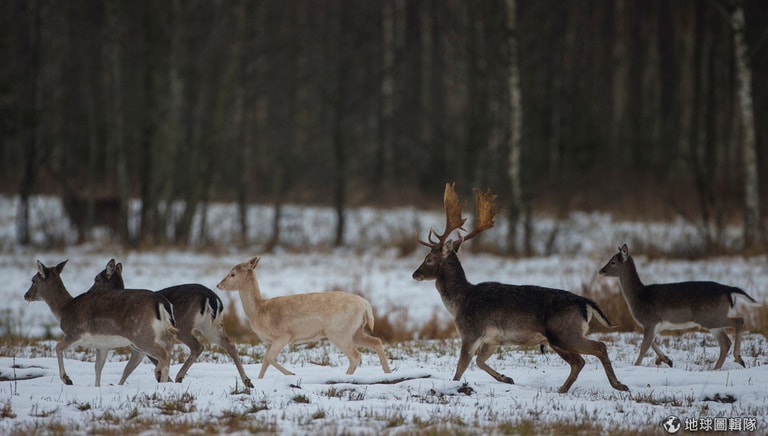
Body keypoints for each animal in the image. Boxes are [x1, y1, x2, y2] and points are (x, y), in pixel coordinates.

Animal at [23, 258, 176, 384]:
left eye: (33, 280)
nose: (26, 295)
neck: (64, 310)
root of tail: (161, 302)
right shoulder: (102, 345)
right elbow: (98, 367)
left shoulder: (75, 333)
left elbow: (58, 346)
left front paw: (67, 379)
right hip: (163, 335)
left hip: (140, 334)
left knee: (164, 355)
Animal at [88, 258, 254, 386]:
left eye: (96, 279)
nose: (89, 293)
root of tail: (212, 297)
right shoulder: (139, 347)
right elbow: (129, 368)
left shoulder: (141, 343)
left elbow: (144, 364)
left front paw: (163, 378)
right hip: (211, 326)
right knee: (229, 344)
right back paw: (247, 381)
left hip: (184, 325)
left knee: (198, 346)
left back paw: (179, 376)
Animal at [218, 258, 392, 380]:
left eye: (232, 274)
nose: (219, 285)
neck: (259, 311)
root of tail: (365, 305)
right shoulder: (269, 341)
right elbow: (264, 362)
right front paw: (259, 380)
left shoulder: (283, 335)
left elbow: (268, 358)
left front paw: (291, 374)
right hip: (354, 331)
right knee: (376, 342)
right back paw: (388, 373)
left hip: (338, 332)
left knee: (355, 356)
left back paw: (346, 377)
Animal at [412, 182, 628, 394]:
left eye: (428, 259)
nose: (415, 274)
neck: (459, 302)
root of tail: (586, 303)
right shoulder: (492, 340)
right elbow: (480, 361)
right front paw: (506, 378)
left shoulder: (470, 332)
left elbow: (461, 368)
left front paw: (454, 385)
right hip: (561, 337)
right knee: (580, 361)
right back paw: (566, 389)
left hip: (563, 333)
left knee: (595, 349)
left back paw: (617, 385)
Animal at [600, 244, 756, 370]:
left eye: (613, 262)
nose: (601, 271)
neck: (638, 296)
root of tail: (728, 290)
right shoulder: (653, 325)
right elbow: (651, 343)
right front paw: (667, 360)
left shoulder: (650, 320)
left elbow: (644, 346)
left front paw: (635, 366)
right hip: (713, 321)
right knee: (725, 342)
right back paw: (717, 368)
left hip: (710, 317)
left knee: (739, 321)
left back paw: (738, 358)